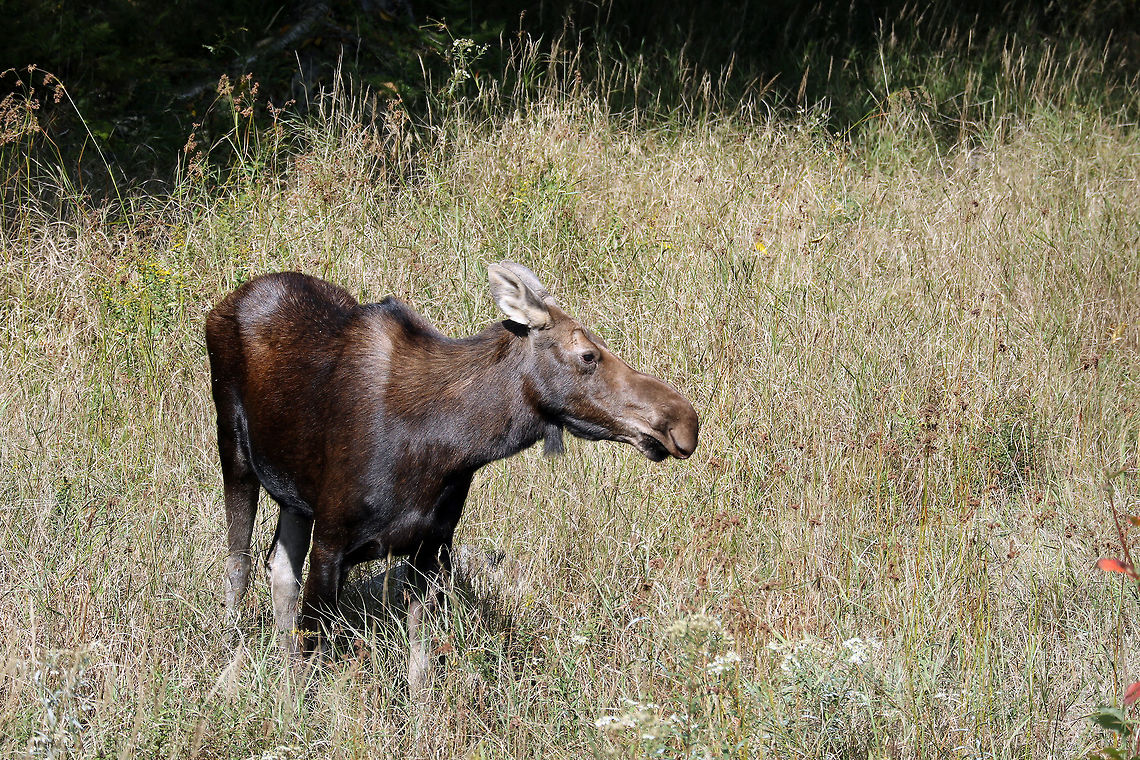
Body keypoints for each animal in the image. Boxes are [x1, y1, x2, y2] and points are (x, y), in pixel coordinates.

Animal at [205, 262, 699, 692]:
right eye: (588, 355)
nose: (684, 421)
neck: (449, 449)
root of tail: (228, 300)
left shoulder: (430, 547)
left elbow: (420, 671)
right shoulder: (332, 542)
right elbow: (311, 653)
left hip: (294, 495)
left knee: (278, 566)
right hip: (235, 449)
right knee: (239, 563)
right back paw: (228, 651)